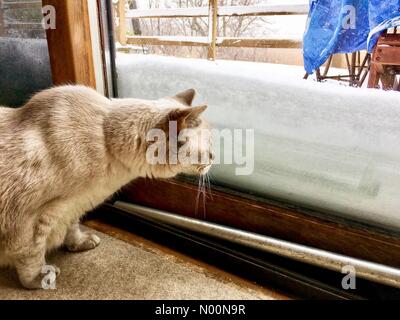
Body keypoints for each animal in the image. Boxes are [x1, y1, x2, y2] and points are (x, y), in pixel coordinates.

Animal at [0, 84, 212, 288]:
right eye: (209, 148)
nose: (213, 158)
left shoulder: (72, 206)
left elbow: (72, 228)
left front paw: (80, 243)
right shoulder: (30, 218)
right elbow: (32, 256)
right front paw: (40, 279)